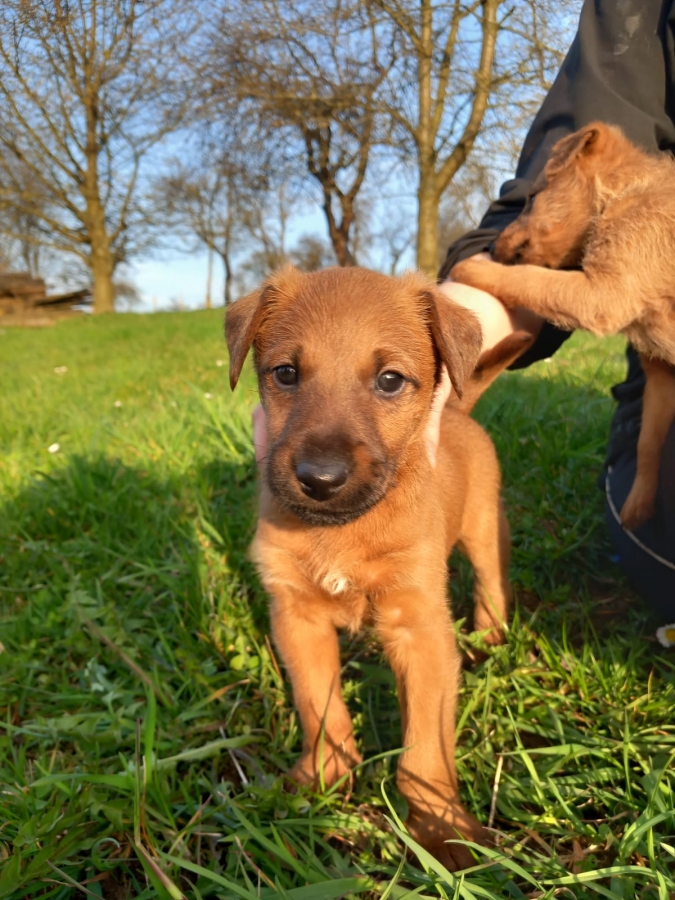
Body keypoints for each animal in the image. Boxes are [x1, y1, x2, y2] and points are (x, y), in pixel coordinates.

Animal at [225, 265, 533, 870]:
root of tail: (455, 411)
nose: (320, 478)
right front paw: (323, 779)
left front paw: (441, 830)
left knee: (491, 584)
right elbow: (320, 708)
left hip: (485, 527)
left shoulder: (421, 630)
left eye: (390, 381)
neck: (343, 531)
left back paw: (490, 639)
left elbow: (425, 754)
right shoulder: (297, 619)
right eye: (286, 373)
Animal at [451, 122, 675, 530]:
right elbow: (648, 442)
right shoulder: (661, 373)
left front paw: (472, 269)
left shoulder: (602, 294)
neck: (622, 193)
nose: (489, 248)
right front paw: (636, 509)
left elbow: (529, 278)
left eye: (531, 197)